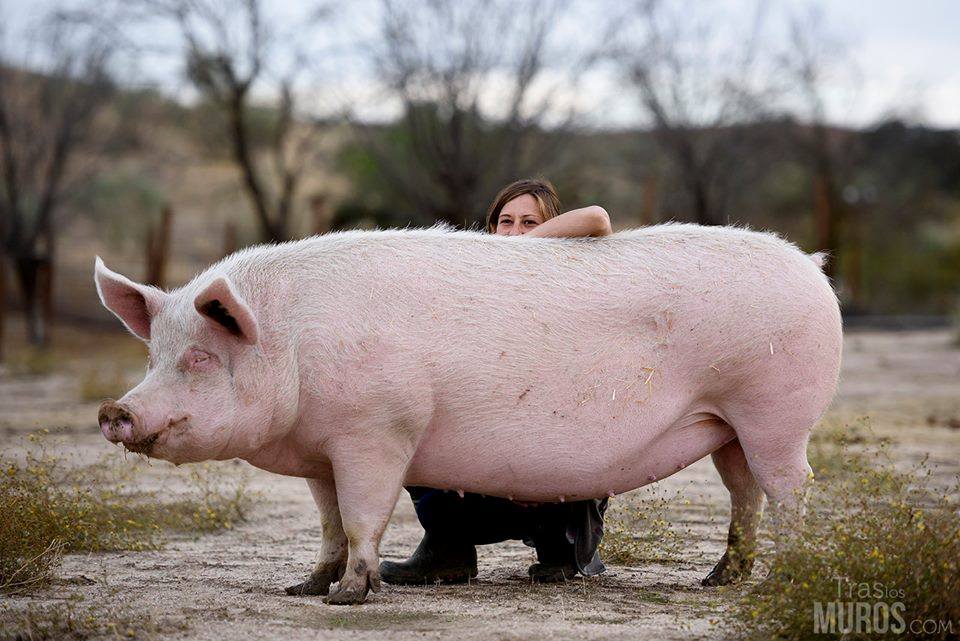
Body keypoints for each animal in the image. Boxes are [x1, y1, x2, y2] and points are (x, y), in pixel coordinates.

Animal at [95, 222, 840, 604]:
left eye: (198, 356)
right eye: (154, 353)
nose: (115, 410)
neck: (291, 340)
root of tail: (813, 267)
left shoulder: (376, 431)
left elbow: (363, 515)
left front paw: (349, 596)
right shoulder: (320, 452)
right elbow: (329, 522)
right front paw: (301, 587)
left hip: (775, 411)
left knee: (791, 489)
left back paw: (785, 578)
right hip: (726, 426)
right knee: (744, 491)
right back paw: (717, 579)